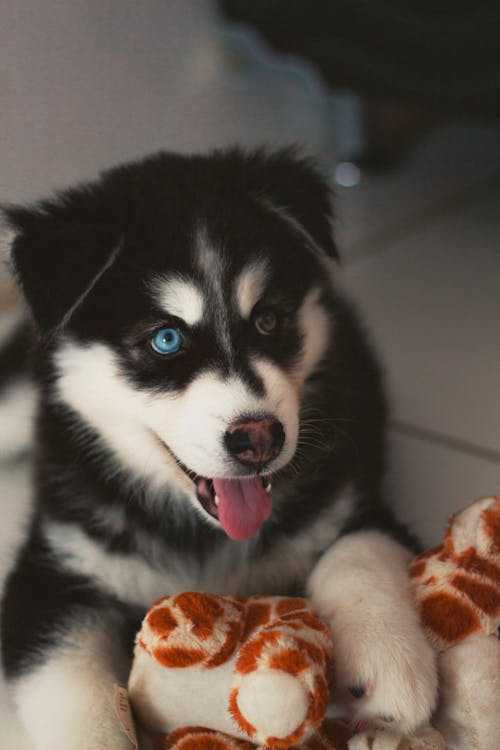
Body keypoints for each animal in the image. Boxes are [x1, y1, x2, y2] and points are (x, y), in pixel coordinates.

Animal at [0, 150, 436, 748]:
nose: (260, 439)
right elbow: (73, 688)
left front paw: (390, 664)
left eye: (269, 319)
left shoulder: (351, 497)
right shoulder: (54, 569)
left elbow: (360, 550)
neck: (204, 539)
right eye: (166, 339)